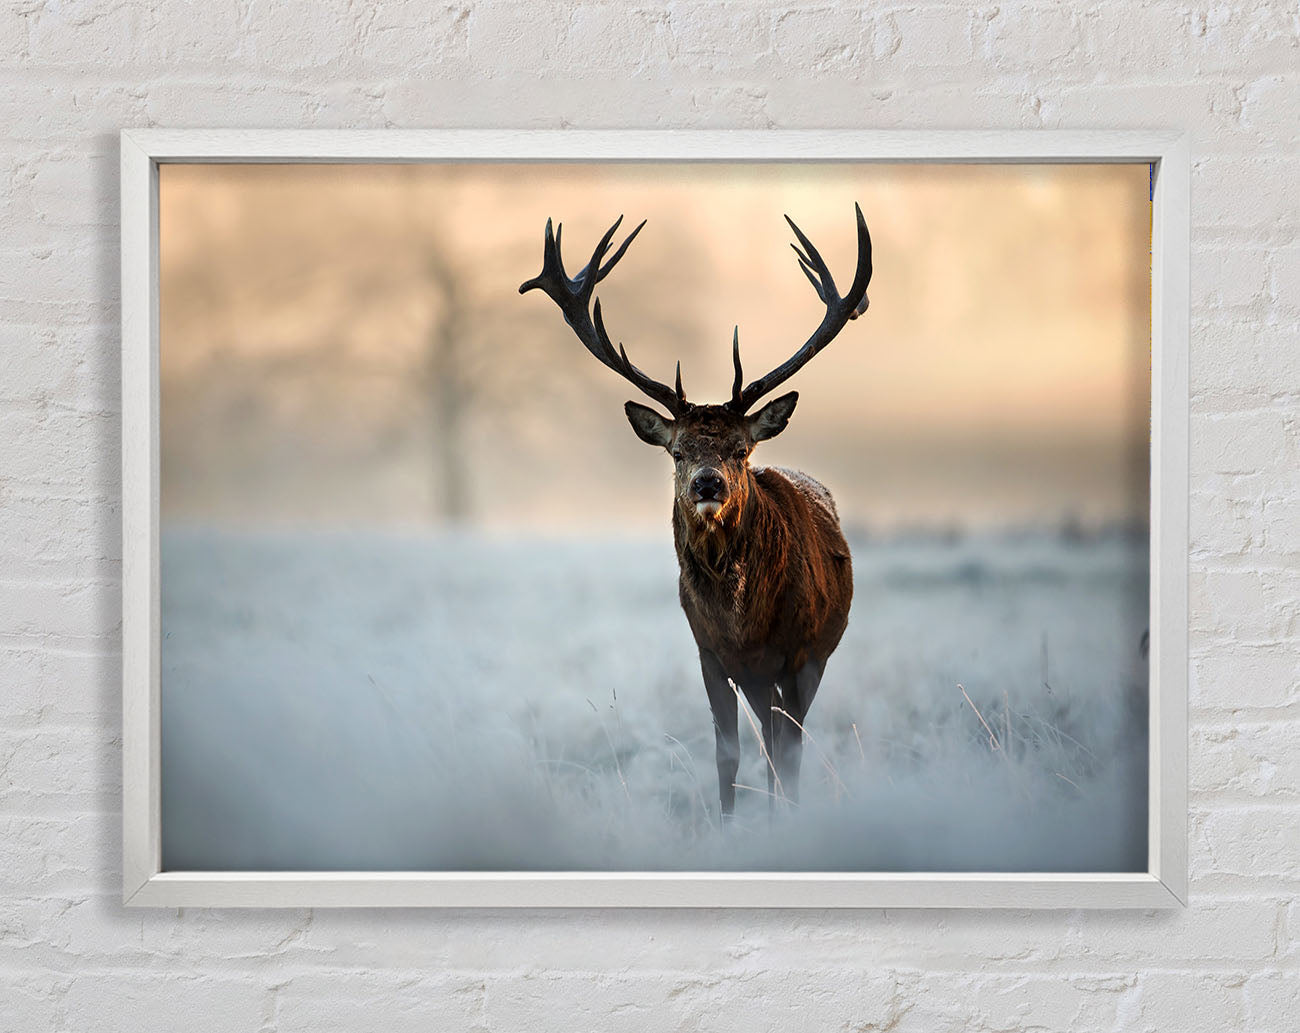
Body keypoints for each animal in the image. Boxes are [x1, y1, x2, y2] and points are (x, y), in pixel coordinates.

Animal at [520, 205, 872, 818]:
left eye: (740, 449)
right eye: (678, 451)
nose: (709, 483)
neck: (744, 624)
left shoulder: (800, 653)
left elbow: (789, 751)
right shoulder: (709, 652)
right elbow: (728, 753)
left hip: (813, 656)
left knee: (785, 743)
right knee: (768, 739)